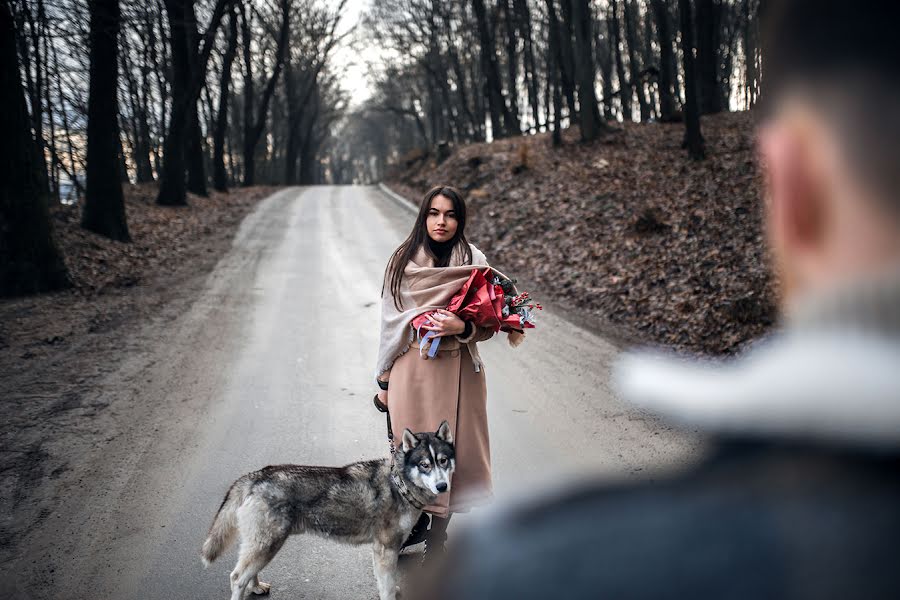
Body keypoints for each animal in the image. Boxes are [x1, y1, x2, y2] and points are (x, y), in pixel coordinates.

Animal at [203, 422, 458, 600]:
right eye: (425, 465)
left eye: (443, 461)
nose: (442, 486)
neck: (399, 484)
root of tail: (256, 476)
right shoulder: (385, 550)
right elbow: (386, 588)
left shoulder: (382, 551)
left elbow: (385, 583)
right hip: (267, 544)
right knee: (237, 578)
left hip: (261, 545)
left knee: (248, 573)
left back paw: (256, 587)